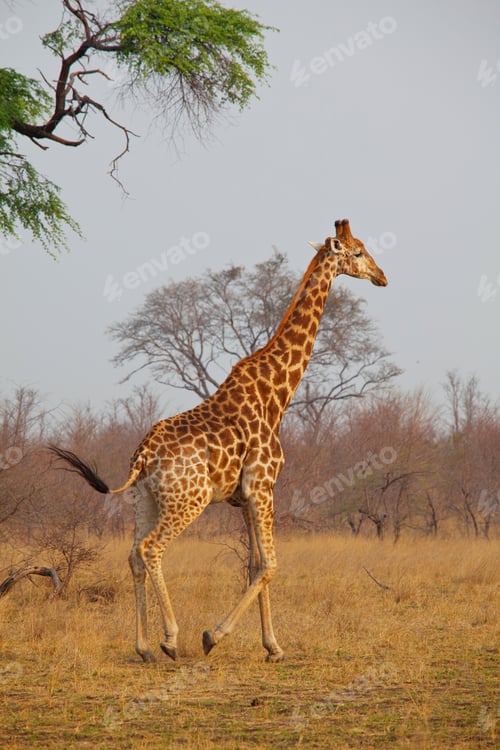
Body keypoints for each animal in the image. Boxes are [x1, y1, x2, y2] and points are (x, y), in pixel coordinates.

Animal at [50, 219, 388, 663]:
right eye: (359, 252)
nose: (383, 277)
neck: (277, 394)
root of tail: (143, 455)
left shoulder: (243, 497)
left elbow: (255, 565)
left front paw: (272, 646)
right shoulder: (263, 487)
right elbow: (270, 565)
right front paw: (215, 635)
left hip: (145, 500)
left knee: (133, 555)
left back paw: (143, 647)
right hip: (187, 501)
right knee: (151, 550)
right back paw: (170, 638)